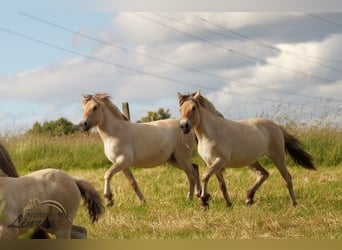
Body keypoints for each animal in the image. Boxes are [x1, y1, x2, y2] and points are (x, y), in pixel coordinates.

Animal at [179, 91, 316, 209]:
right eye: (180, 109)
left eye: (193, 108)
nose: (184, 126)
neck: (211, 132)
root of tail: (277, 126)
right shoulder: (211, 162)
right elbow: (221, 184)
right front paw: (228, 204)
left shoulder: (220, 160)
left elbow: (205, 176)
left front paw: (204, 201)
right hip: (252, 161)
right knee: (264, 174)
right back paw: (249, 198)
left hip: (277, 157)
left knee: (287, 177)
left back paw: (294, 203)